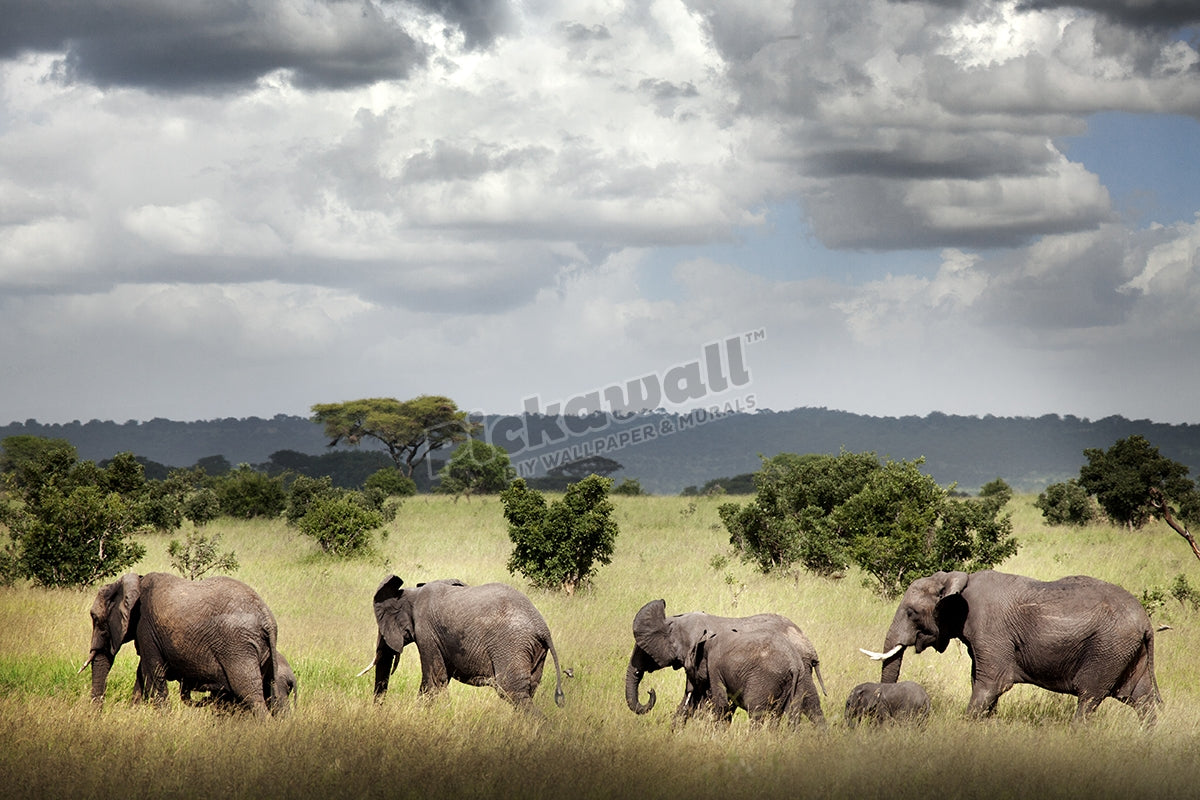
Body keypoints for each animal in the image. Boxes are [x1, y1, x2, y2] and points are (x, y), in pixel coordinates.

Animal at [81, 572, 282, 717]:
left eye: (94, 617)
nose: (96, 716)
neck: (135, 582)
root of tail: (267, 619)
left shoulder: (145, 627)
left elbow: (152, 674)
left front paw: (164, 720)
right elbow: (142, 675)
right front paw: (134, 715)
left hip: (237, 647)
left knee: (249, 694)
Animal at [364, 576, 564, 712]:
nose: (378, 710)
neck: (412, 593)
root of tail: (542, 628)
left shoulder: (426, 632)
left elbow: (433, 680)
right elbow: (439, 679)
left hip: (511, 645)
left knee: (513, 691)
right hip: (535, 650)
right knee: (529, 690)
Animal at [625, 599, 826, 729]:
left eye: (643, 651)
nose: (650, 691)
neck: (676, 621)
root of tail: (808, 643)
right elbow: (692, 697)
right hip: (800, 671)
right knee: (810, 705)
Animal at [861, 570, 1161, 724]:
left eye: (911, 613)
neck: (957, 581)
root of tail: (1146, 623)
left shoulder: (990, 629)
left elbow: (990, 684)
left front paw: (966, 726)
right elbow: (979, 681)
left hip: (1108, 648)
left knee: (1089, 698)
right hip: (1126, 652)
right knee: (1142, 699)